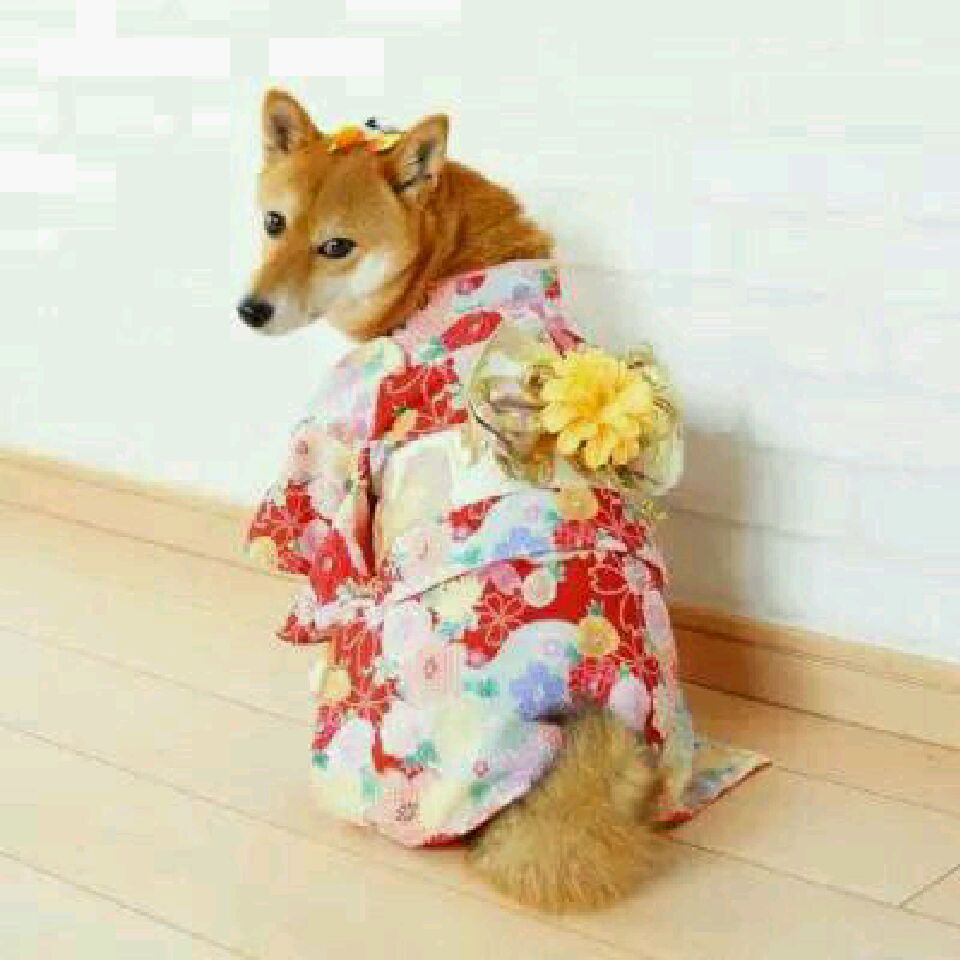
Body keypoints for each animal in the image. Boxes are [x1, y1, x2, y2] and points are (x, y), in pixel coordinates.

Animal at [239, 90, 757, 912]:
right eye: (274, 223)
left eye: (337, 247)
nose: (250, 310)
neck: (449, 269)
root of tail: (578, 736)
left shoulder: (336, 467)